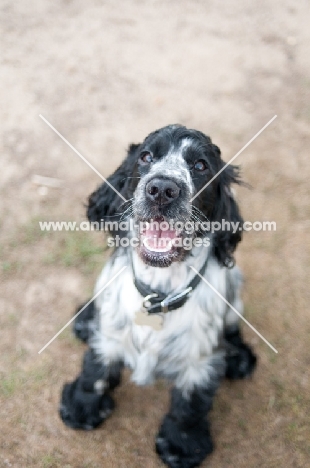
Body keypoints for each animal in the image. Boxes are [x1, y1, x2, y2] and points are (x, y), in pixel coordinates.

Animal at [58, 124, 256, 468]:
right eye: (146, 157)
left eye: (201, 165)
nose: (162, 188)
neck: (158, 294)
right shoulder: (109, 334)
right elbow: (95, 370)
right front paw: (82, 406)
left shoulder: (198, 359)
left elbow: (190, 404)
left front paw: (181, 444)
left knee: (232, 326)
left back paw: (239, 357)